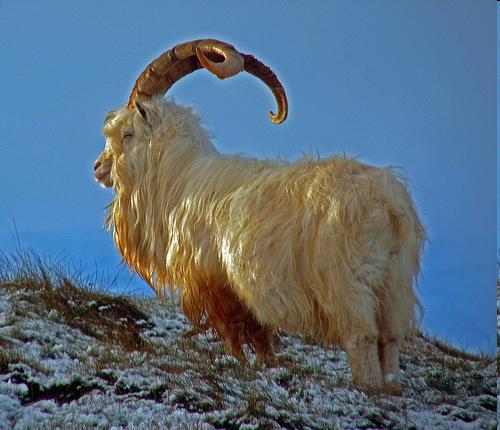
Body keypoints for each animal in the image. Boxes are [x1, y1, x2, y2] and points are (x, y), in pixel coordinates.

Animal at [94, 40, 426, 394]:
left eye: (128, 134)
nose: (98, 168)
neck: (180, 177)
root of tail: (389, 205)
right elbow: (260, 336)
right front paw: (267, 365)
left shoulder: (215, 282)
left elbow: (233, 334)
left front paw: (240, 365)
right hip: (393, 283)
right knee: (390, 340)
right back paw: (390, 390)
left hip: (347, 283)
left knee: (362, 337)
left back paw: (367, 388)